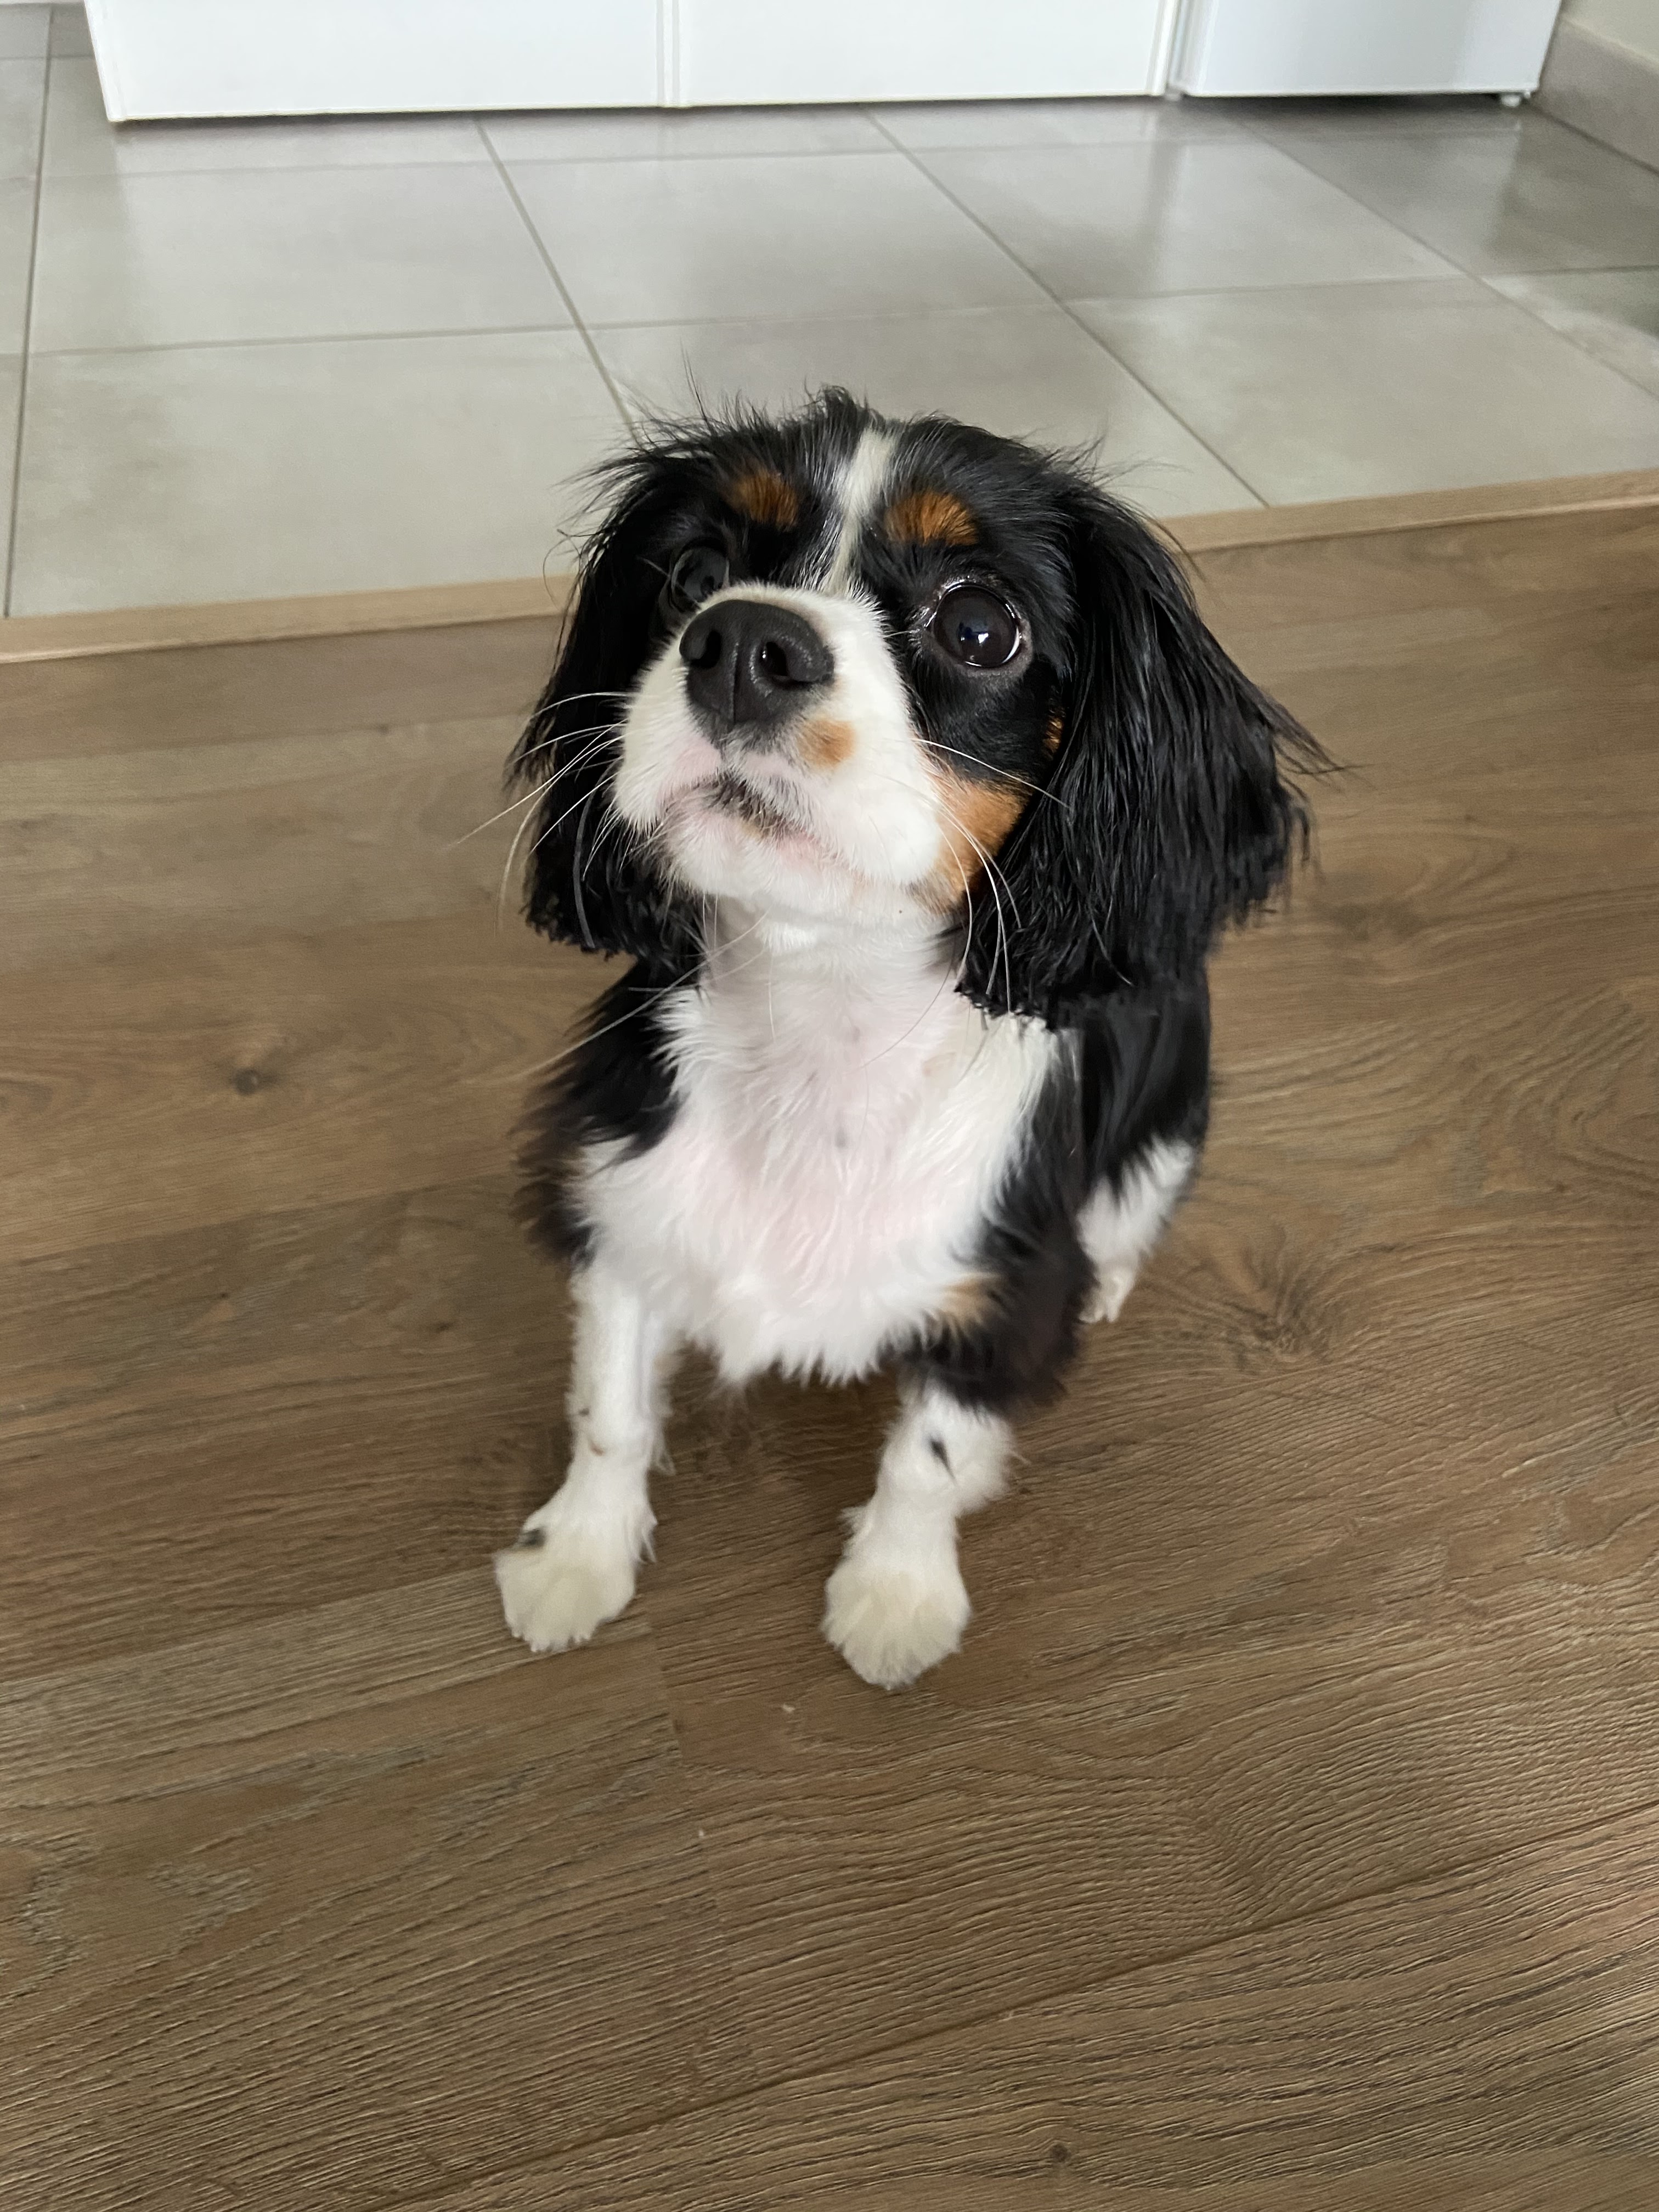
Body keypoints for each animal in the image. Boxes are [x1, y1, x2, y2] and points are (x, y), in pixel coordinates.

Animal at [492, 390, 1317, 1689]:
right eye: (694, 575)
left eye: (980, 627)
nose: (743, 642)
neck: (822, 1015)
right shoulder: (621, 1206)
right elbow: (610, 1411)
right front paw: (576, 1555)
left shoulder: (999, 1293)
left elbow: (927, 1460)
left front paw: (894, 1597)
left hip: (1170, 1120)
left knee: (1131, 1210)